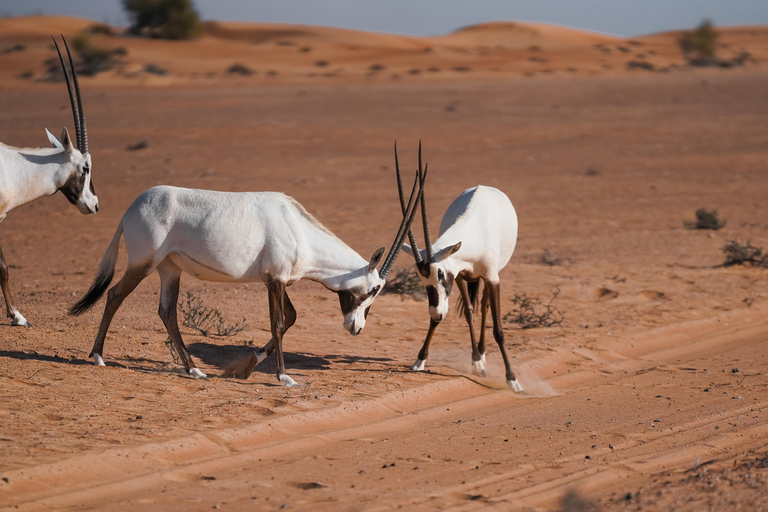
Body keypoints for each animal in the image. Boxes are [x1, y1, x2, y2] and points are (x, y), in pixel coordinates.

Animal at [71, 175, 420, 384]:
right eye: (373, 289)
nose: (355, 328)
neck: (300, 230)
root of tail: (131, 209)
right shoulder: (275, 280)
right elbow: (278, 323)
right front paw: (283, 377)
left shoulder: (277, 281)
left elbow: (291, 318)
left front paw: (246, 365)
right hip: (144, 263)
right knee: (115, 295)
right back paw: (98, 357)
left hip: (170, 269)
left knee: (167, 312)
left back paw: (194, 370)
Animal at [396, 143, 520, 392]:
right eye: (420, 278)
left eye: (440, 273)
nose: (436, 312)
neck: (474, 231)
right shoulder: (460, 276)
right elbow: (468, 314)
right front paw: (420, 360)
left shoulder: (492, 278)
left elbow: (498, 329)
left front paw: (512, 380)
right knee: (474, 308)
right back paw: (479, 357)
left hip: (490, 276)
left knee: (485, 307)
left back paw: (484, 354)